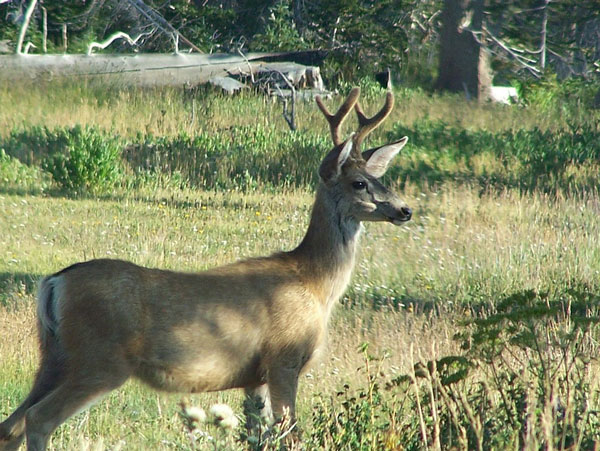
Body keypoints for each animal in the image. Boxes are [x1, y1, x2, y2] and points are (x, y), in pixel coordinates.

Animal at [0, 86, 410, 450]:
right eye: (359, 183)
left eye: (382, 178)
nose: (405, 210)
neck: (314, 282)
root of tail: (55, 282)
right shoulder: (284, 359)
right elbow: (290, 435)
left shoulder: (254, 376)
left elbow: (257, 437)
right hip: (99, 358)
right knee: (38, 419)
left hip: (54, 355)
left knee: (12, 424)